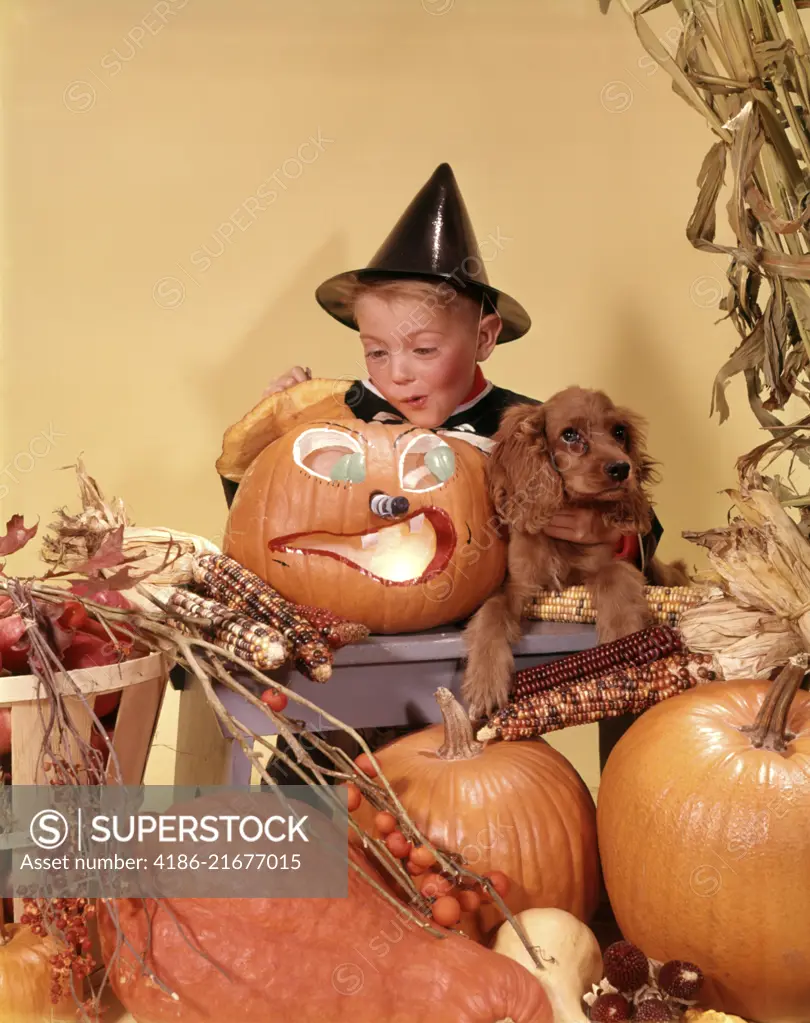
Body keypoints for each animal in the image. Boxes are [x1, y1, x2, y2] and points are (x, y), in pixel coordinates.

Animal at [462, 384, 683, 720]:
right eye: (569, 435)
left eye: (619, 432)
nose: (622, 468)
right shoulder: (519, 585)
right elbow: (492, 610)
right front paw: (484, 680)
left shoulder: (610, 561)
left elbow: (613, 575)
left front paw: (623, 637)